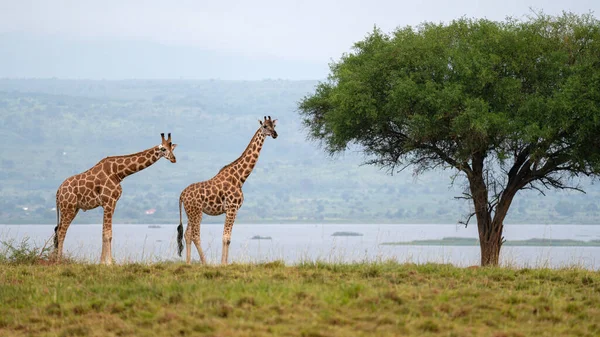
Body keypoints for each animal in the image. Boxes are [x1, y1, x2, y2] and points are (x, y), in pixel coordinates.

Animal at [53, 133, 177, 264]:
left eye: (172, 148)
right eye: (163, 149)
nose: (174, 159)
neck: (119, 173)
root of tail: (58, 192)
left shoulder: (113, 203)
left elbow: (106, 233)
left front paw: (106, 261)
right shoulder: (108, 202)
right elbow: (107, 234)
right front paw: (107, 263)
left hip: (72, 208)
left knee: (59, 230)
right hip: (68, 208)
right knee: (61, 231)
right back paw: (59, 261)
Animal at [177, 117, 278, 264]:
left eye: (274, 126)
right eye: (265, 126)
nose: (275, 134)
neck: (240, 178)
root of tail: (182, 195)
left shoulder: (230, 210)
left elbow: (226, 237)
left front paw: (223, 262)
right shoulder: (232, 208)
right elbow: (227, 238)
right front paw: (223, 264)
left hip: (191, 212)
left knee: (187, 234)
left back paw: (189, 263)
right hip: (197, 212)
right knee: (195, 235)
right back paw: (205, 263)